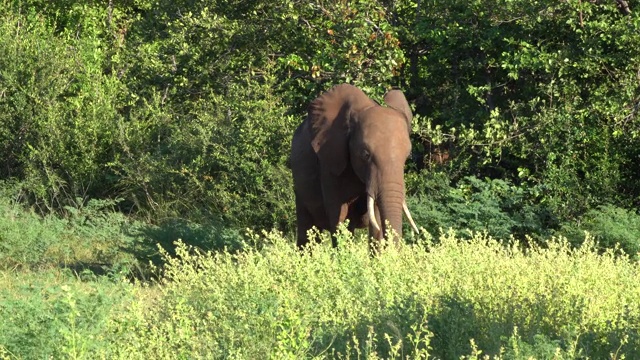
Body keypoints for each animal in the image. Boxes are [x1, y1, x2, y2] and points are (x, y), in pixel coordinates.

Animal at [292, 83, 420, 250]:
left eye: (407, 156)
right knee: (307, 232)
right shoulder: (329, 163)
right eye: (365, 154)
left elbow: (376, 219)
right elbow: (338, 215)